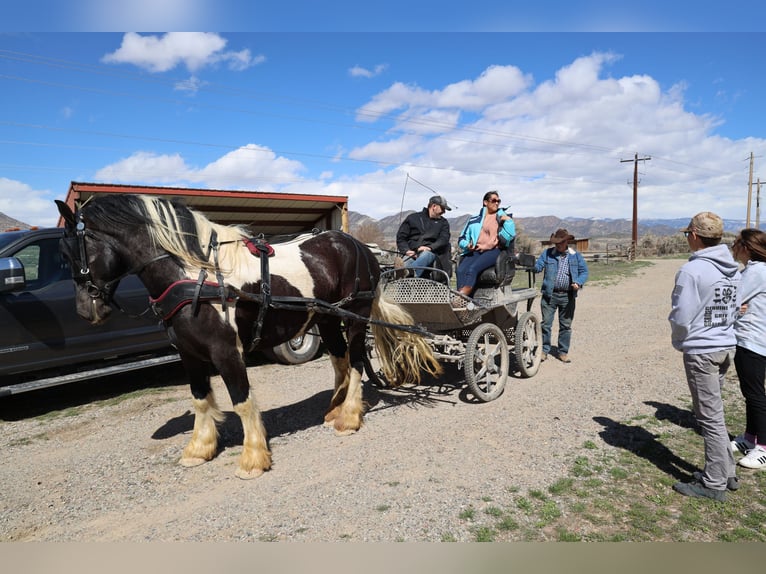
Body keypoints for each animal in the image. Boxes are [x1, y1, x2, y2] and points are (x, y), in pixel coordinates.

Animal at [57, 196, 440, 480]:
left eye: (74, 251)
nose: (86, 311)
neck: (195, 274)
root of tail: (358, 246)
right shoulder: (188, 354)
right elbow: (200, 399)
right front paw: (199, 448)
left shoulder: (226, 351)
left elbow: (241, 401)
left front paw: (253, 457)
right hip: (330, 319)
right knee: (340, 360)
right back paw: (335, 408)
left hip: (355, 316)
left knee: (357, 361)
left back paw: (348, 417)